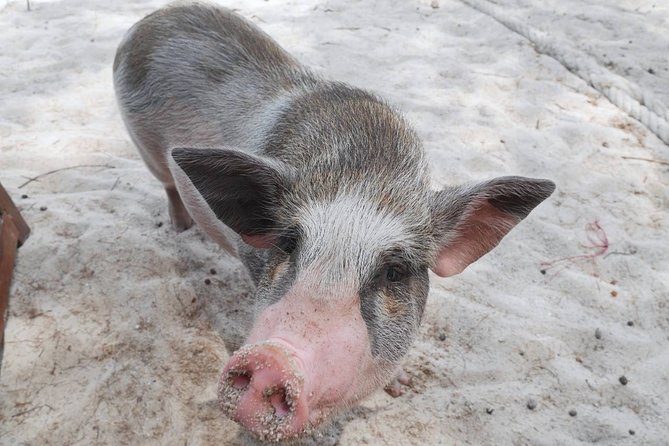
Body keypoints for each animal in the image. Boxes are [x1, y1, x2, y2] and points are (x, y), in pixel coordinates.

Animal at [113, 2, 555, 442]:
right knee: (168, 185)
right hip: (146, 150)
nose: (272, 358)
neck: (363, 173)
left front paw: (402, 386)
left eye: (395, 272)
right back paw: (180, 228)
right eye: (289, 244)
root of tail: (152, 19)